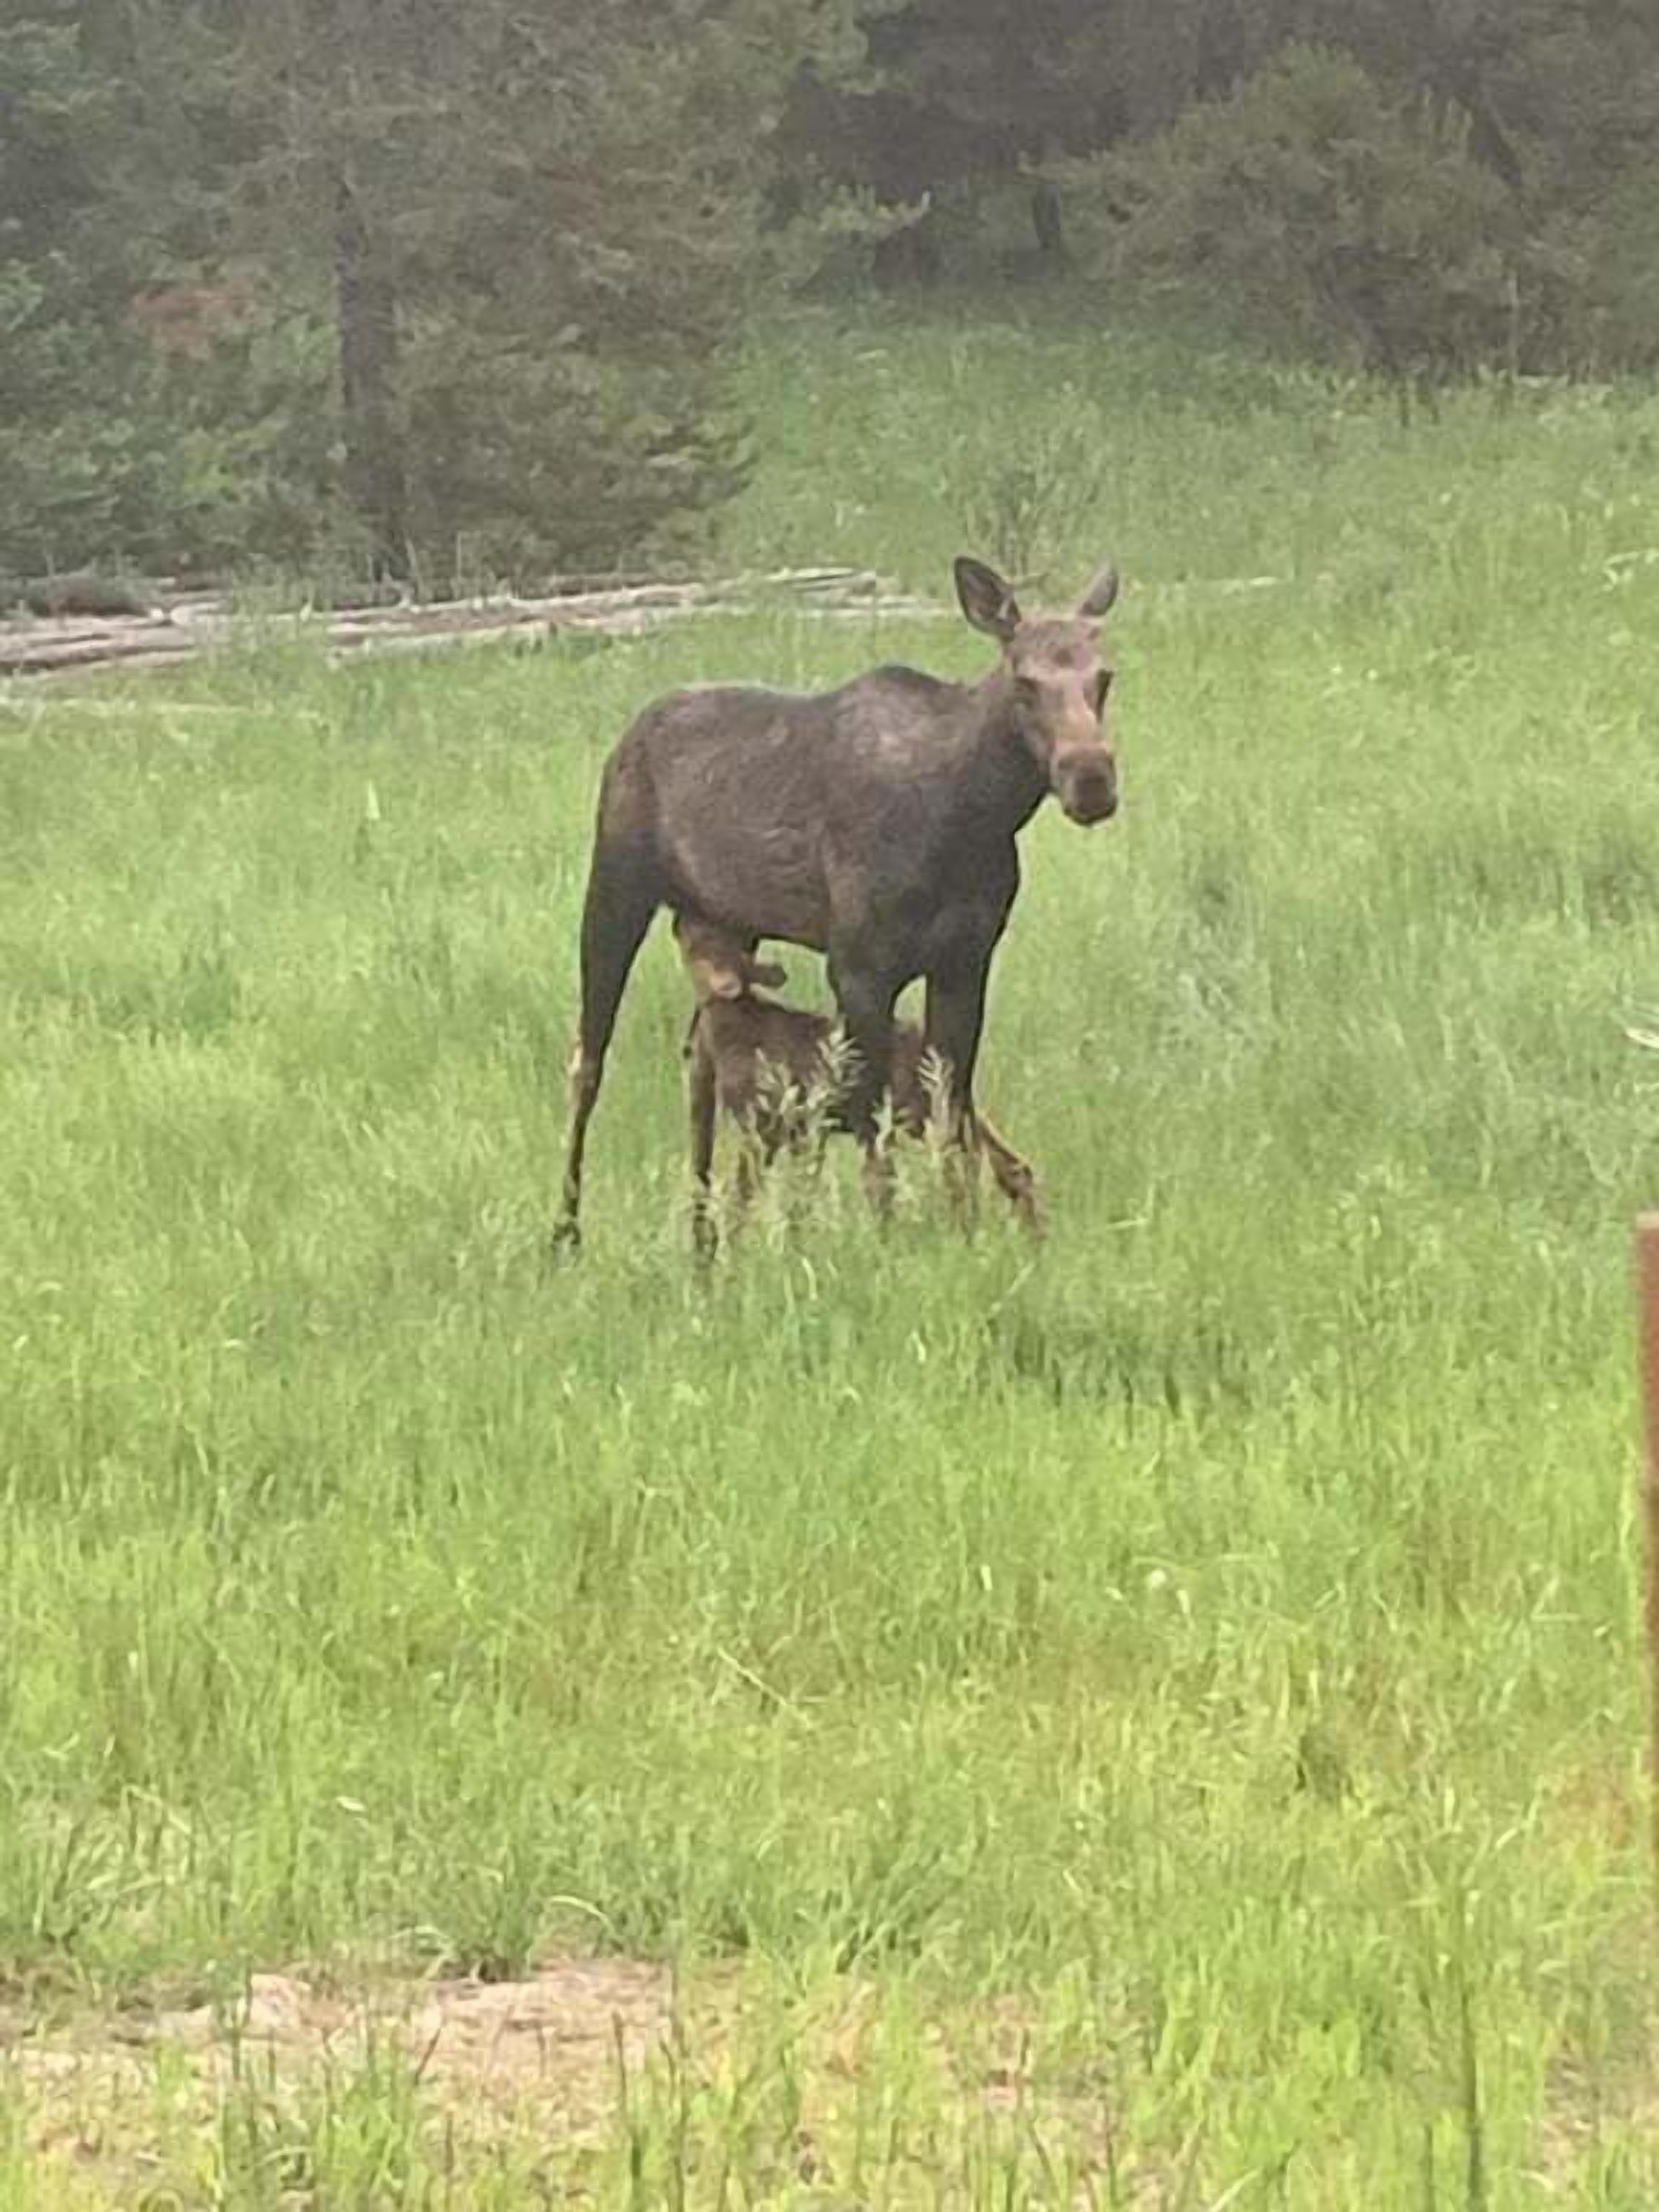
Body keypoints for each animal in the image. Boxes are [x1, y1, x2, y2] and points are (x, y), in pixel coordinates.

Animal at [674, 913, 1040, 1250]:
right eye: (697, 945)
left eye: (733, 953)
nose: (724, 983)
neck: (735, 1033)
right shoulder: (790, 1128)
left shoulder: (770, 1122)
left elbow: (751, 1195)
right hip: (943, 1107)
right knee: (1010, 1163)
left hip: (916, 1111)